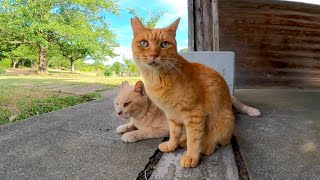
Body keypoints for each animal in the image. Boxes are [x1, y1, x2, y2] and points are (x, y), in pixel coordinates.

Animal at [131, 17, 236, 168]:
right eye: (144, 43)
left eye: (164, 44)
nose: (154, 55)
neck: (157, 79)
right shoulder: (172, 115)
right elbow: (174, 134)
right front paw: (171, 145)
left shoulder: (194, 114)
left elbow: (194, 138)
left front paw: (191, 156)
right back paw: (182, 142)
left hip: (223, 122)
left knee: (218, 140)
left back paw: (207, 146)